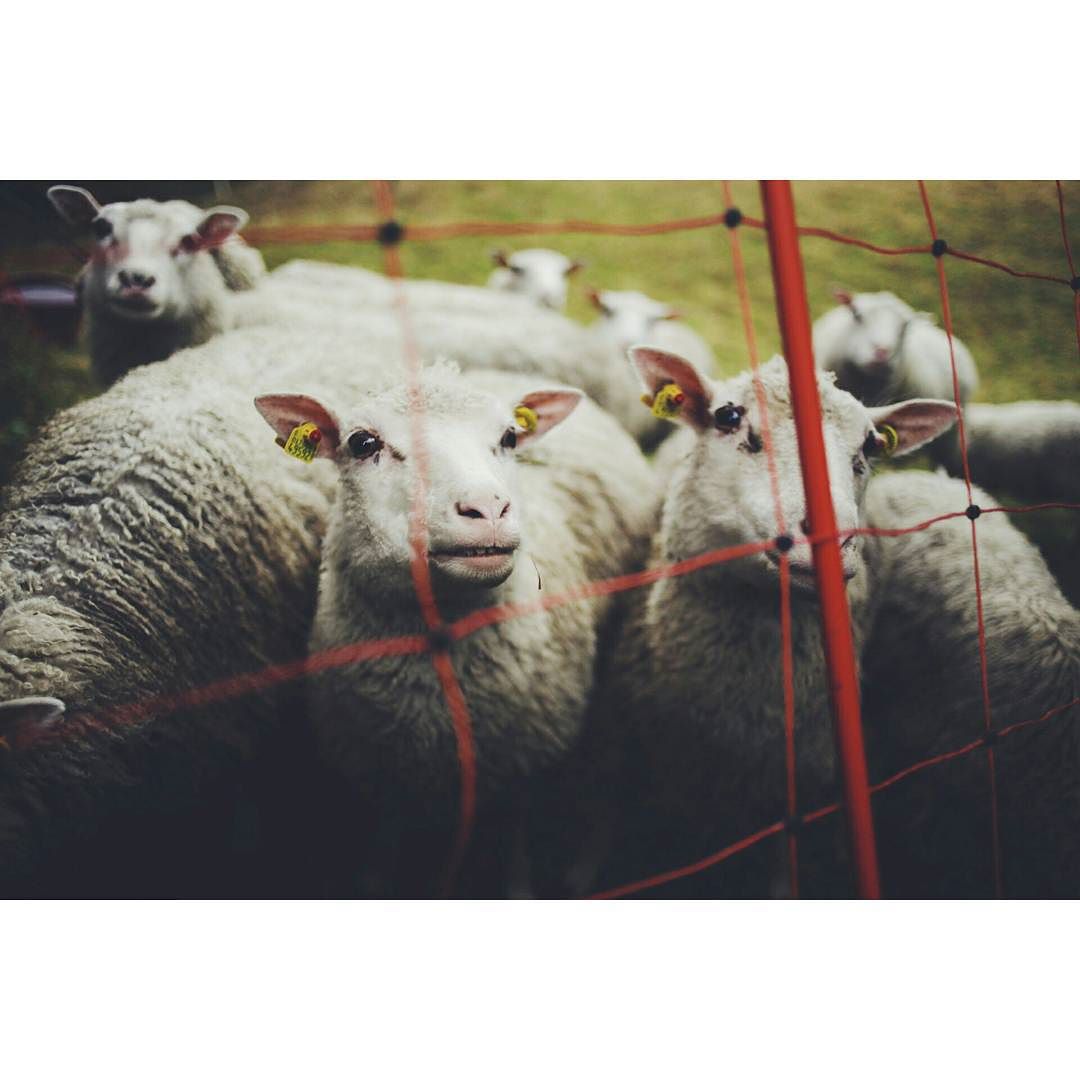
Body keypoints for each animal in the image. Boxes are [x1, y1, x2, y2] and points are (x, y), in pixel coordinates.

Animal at [253, 359, 657, 897]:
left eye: (509, 437)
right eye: (363, 443)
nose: (486, 509)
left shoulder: (519, 772)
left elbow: (514, 851)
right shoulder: (387, 777)